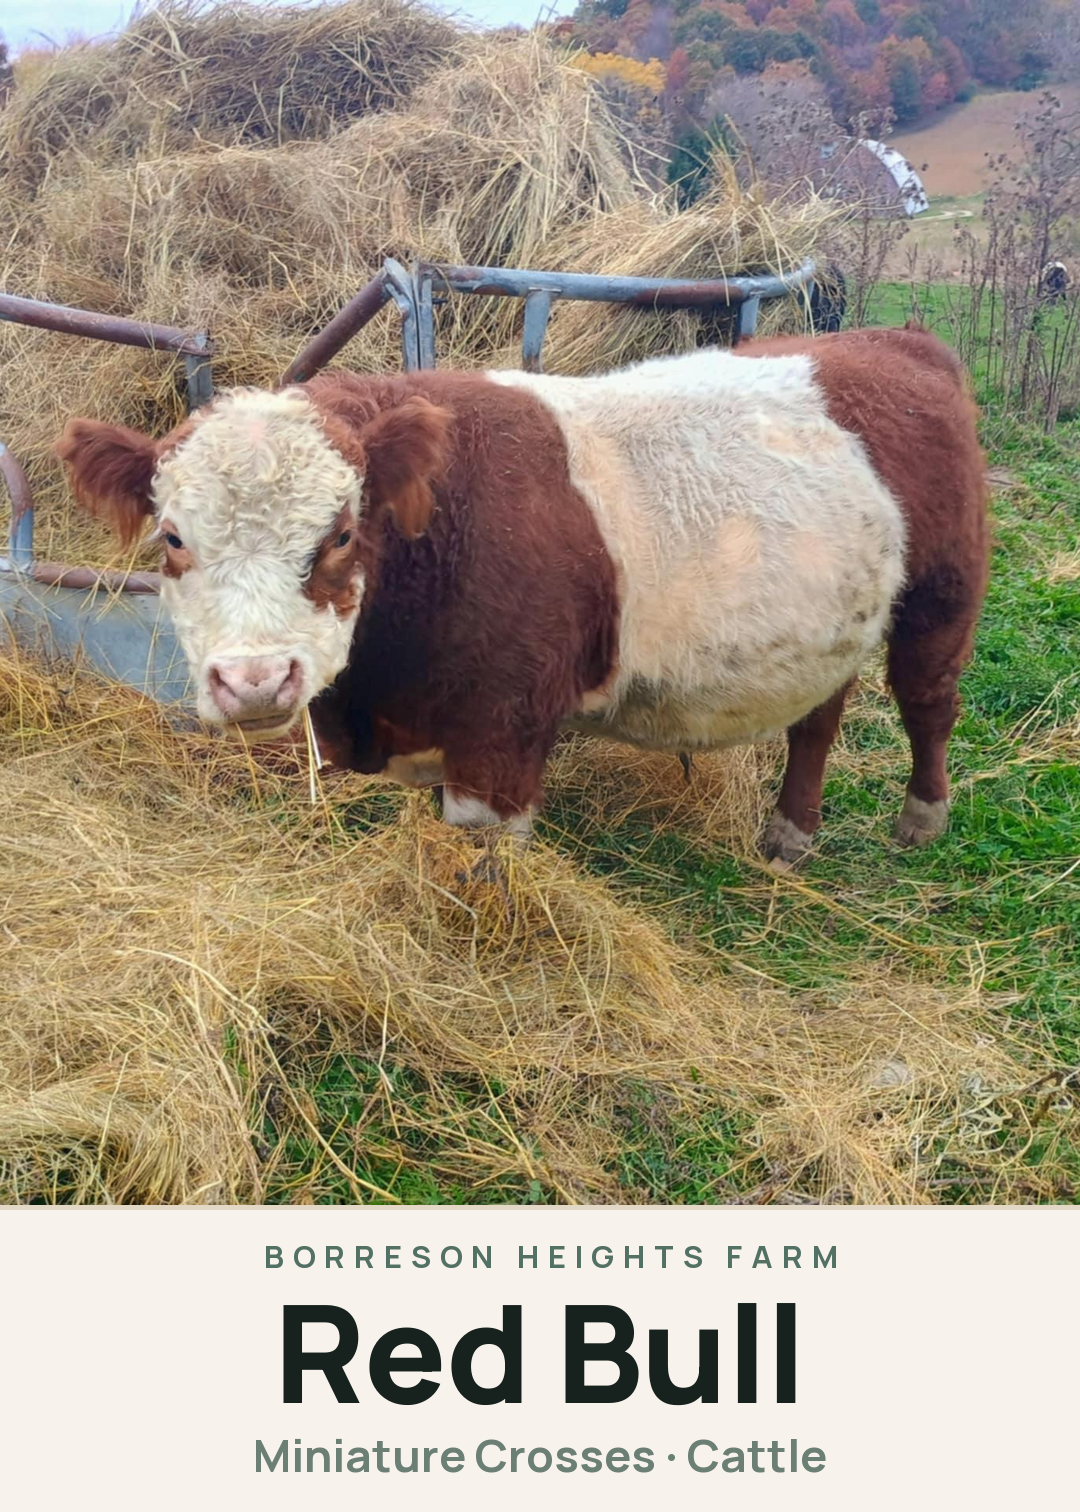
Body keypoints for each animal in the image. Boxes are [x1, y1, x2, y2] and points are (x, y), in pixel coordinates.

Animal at [56, 324, 989, 867]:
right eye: (173, 538)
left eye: (342, 534)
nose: (254, 682)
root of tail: (895, 338)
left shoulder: (500, 737)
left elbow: (485, 868)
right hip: (830, 622)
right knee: (817, 719)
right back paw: (790, 833)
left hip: (942, 594)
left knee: (929, 701)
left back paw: (923, 817)